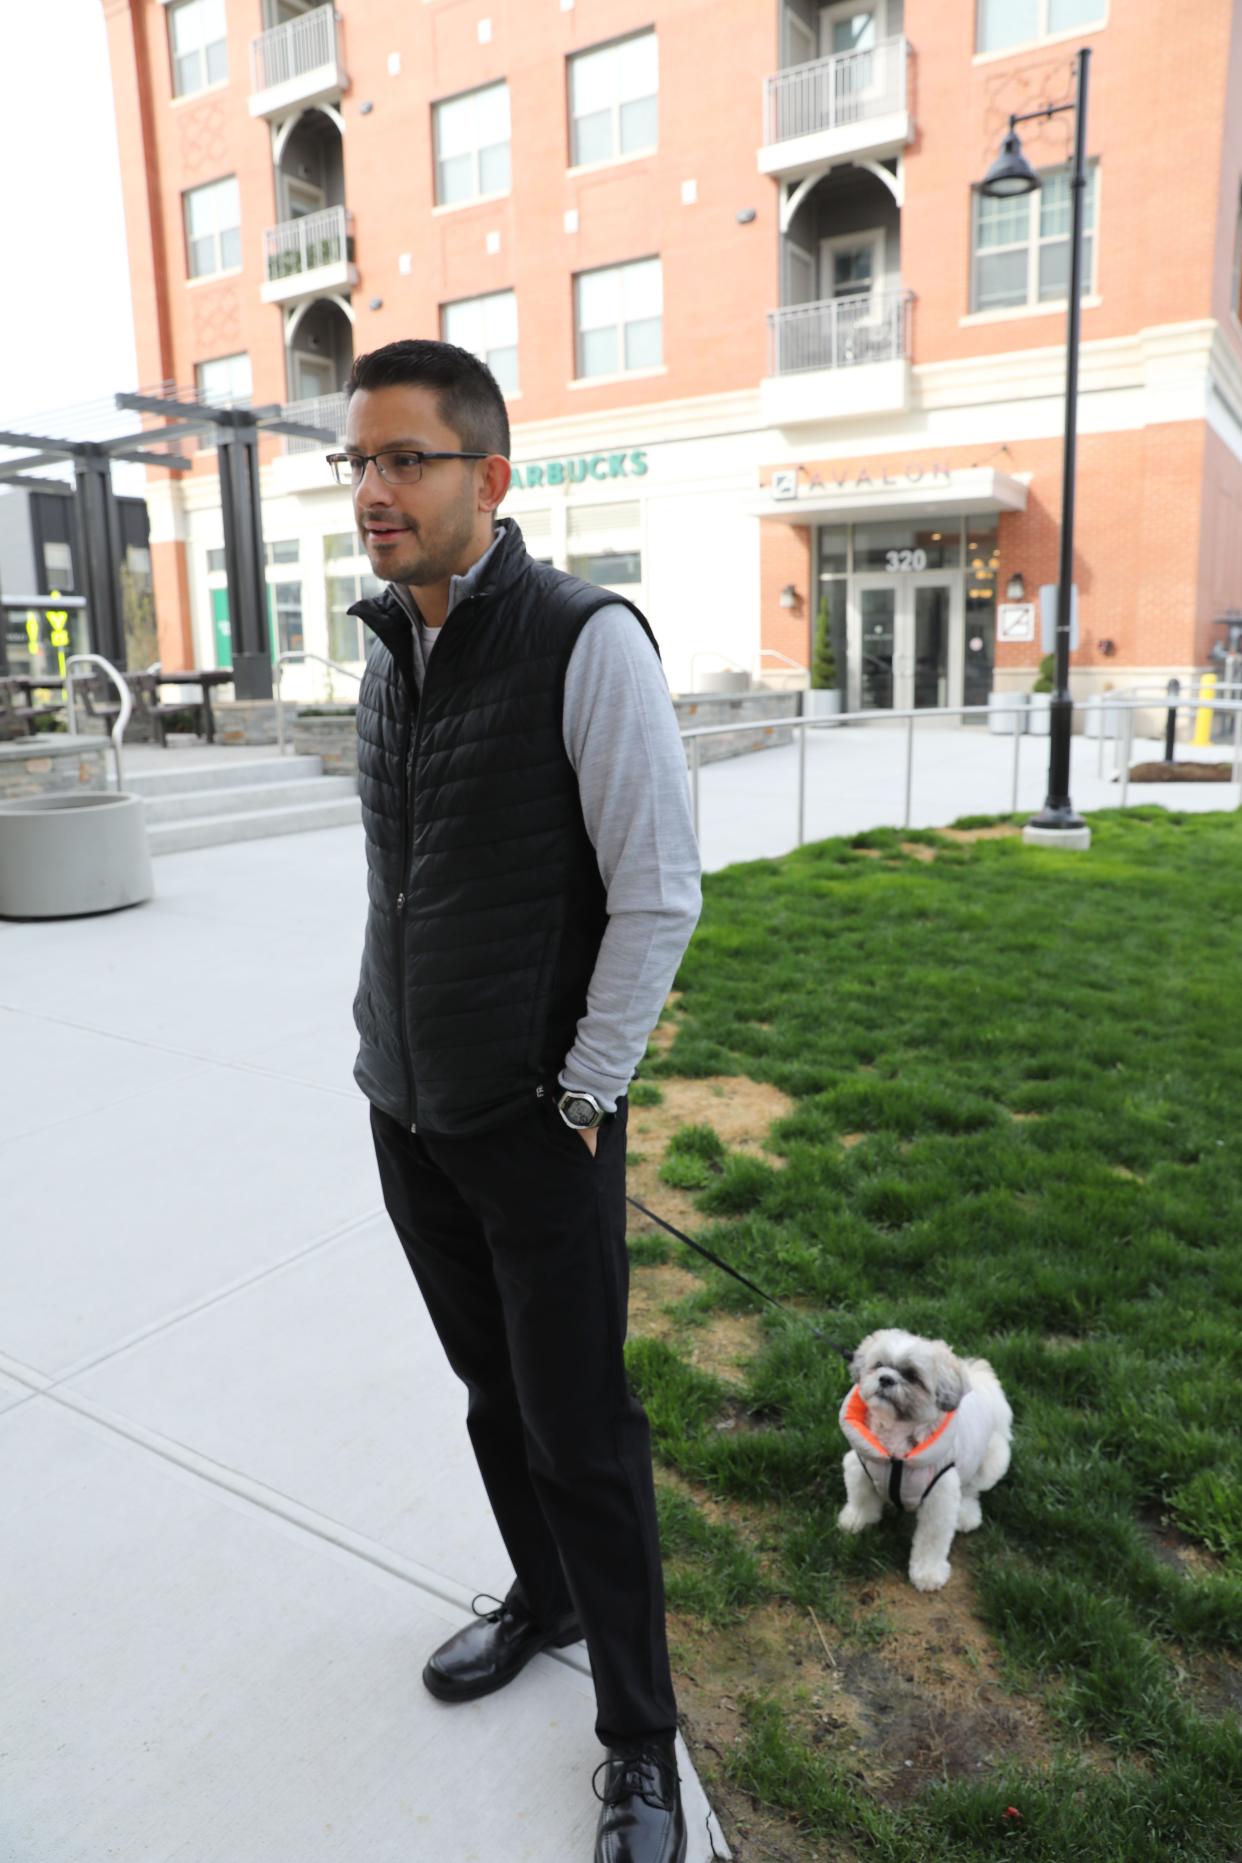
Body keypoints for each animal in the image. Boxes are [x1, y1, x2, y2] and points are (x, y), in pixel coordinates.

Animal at [841, 1326, 1012, 1587]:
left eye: (912, 1376)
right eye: (879, 1365)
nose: (885, 1378)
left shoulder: (939, 1496)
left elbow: (932, 1540)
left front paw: (928, 1573)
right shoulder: (859, 1466)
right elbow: (860, 1499)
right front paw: (856, 1521)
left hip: (992, 1461)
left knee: (971, 1490)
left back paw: (966, 1514)